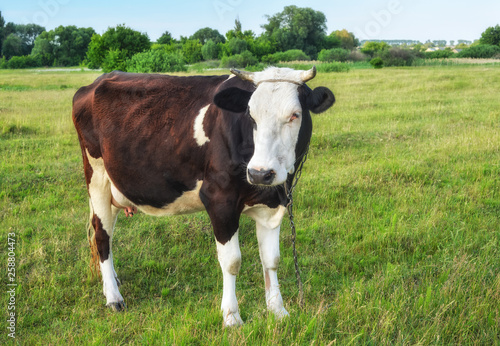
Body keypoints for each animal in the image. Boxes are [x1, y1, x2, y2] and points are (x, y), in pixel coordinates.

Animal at [71, 65, 336, 328]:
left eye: (295, 115)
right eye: (251, 116)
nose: (260, 173)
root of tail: (96, 82)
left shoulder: (272, 204)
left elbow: (272, 259)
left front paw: (278, 311)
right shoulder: (219, 200)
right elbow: (231, 261)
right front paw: (231, 316)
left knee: (107, 234)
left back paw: (113, 281)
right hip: (97, 177)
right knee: (101, 236)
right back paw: (113, 297)